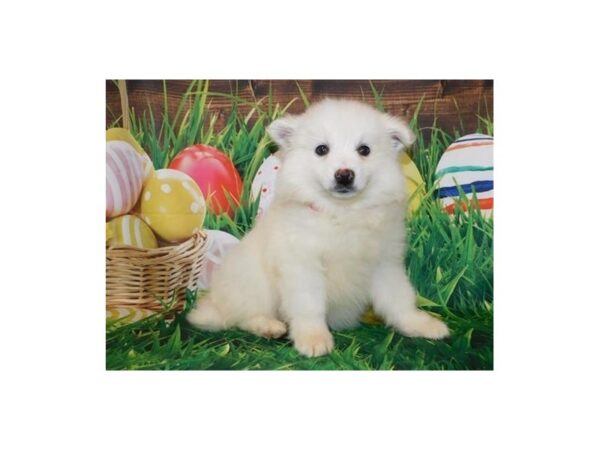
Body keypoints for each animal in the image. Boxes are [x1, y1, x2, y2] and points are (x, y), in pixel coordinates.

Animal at [188, 99, 450, 358]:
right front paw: (313, 338)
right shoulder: (303, 266)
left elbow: (400, 300)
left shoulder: (385, 265)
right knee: (242, 316)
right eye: (321, 149)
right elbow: (309, 307)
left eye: (364, 150)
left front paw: (420, 324)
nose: (344, 174)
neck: (343, 212)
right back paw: (268, 326)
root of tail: (215, 301)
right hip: (252, 282)